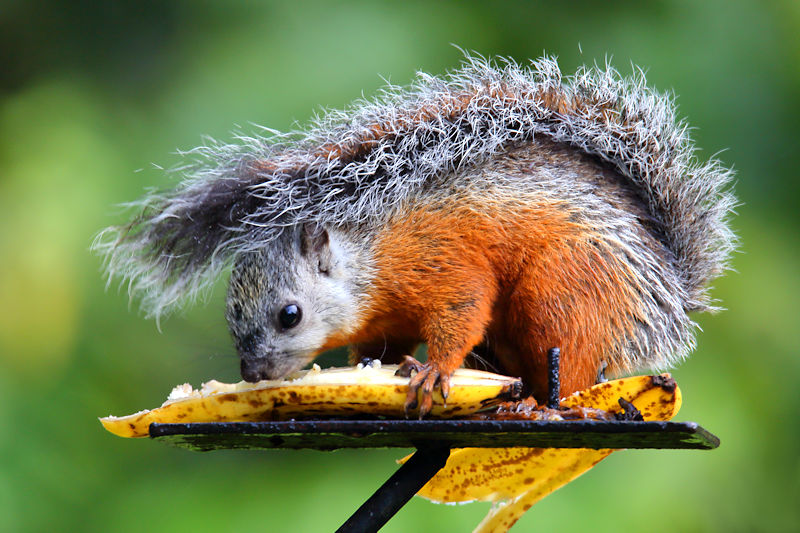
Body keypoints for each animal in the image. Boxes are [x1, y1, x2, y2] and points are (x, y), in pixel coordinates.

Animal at [95, 54, 736, 416]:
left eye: (289, 316)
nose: (252, 374)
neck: (368, 262)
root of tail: (667, 298)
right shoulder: (386, 320)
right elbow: (380, 347)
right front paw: (370, 368)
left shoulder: (441, 261)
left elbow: (462, 309)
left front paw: (433, 370)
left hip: (565, 295)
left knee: (571, 369)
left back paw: (535, 402)